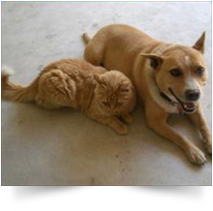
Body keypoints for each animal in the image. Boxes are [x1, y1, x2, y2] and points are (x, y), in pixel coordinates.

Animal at [1, 59, 136, 135]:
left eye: (118, 102)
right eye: (105, 102)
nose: (112, 110)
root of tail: (38, 77)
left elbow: (125, 113)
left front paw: (127, 117)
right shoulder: (94, 112)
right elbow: (111, 120)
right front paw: (121, 126)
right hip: (63, 87)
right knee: (40, 101)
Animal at [83, 23, 211, 165]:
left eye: (200, 69)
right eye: (175, 72)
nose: (194, 94)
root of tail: (102, 30)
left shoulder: (195, 108)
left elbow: (204, 125)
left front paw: (209, 143)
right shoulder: (155, 122)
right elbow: (179, 135)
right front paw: (194, 151)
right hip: (96, 56)